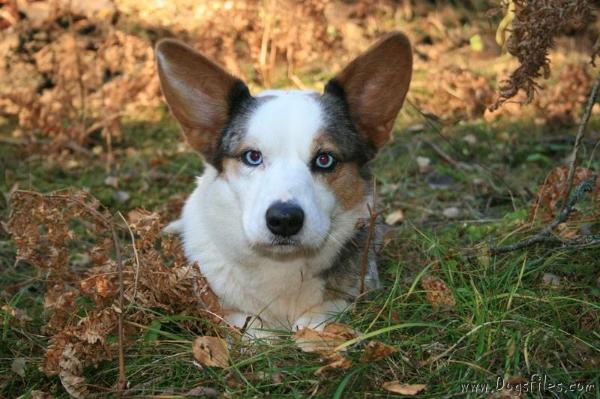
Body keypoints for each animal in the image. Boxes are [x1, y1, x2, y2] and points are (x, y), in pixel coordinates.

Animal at [156, 32, 412, 334]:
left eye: (325, 159)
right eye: (252, 156)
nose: (284, 220)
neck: (281, 264)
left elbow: (315, 321)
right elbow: (249, 326)